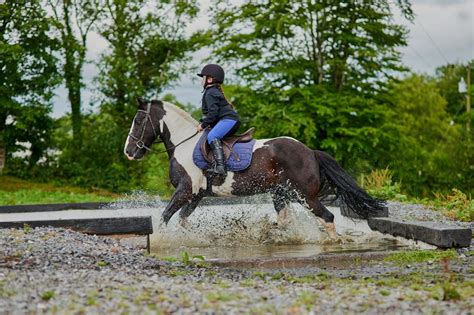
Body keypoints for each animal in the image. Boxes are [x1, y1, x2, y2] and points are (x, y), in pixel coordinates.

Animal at [125, 98, 386, 237]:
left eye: (138, 121)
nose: (129, 152)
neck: (185, 143)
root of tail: (311, 152)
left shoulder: (184, 191)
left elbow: (165, 217)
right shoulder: (196, 195)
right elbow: (182, 220)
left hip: (305, 196)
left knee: (327, 217)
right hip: (281, 193)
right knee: (285, 219)